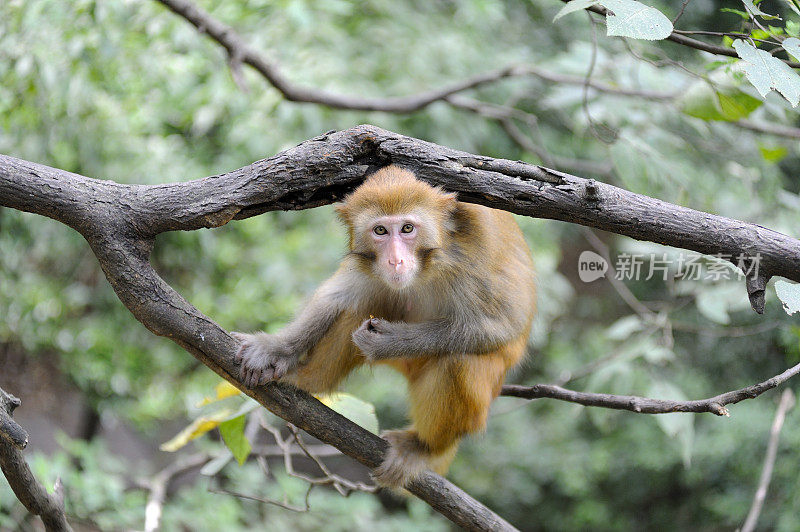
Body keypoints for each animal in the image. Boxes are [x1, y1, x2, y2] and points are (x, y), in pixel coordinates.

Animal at [231, 164, 536, 488]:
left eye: (407, 229)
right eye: (380, 231)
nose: (395, 261)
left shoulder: (477, 250)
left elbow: (502, 325)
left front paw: (389, 342)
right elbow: (337, 296)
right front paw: (275, 349)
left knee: (459, 360)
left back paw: (425, 448)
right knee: (358, 307)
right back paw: (308, 379)